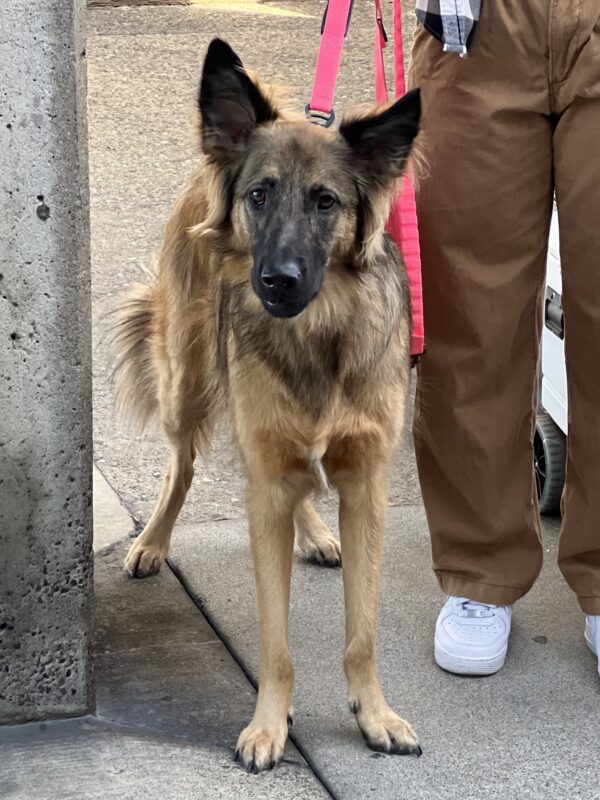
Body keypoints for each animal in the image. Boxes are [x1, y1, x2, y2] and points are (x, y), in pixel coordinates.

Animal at [113, 39, 422, 776]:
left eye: (325, 202)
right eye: (260, 195)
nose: (277, 281)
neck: (318, 335)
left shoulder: (367, 485)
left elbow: (362, 632)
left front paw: (374, 714)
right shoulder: (266, 486)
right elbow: (275, 641)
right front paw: (269, 724)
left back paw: (312, 531)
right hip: (186, 384)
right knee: (181, 466)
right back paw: (152, 542)